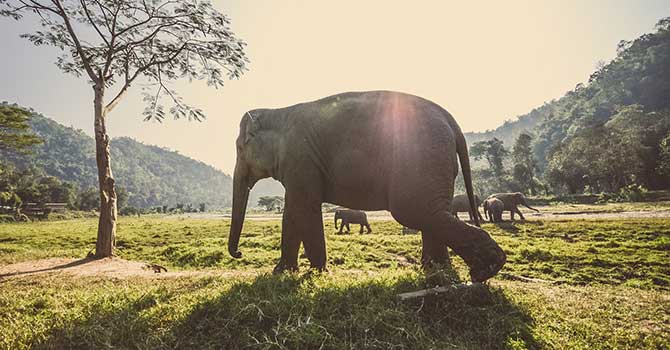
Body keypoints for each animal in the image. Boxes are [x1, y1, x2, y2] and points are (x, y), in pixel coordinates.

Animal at [228, 90, 506, 282]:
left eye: (240, 148)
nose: (239, 253)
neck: (278, 111)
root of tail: (451, 121)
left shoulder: (301, 160)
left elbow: (305, 207)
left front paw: (316, 273)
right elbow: (293, 212)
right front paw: (282, 272)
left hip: (421, 158)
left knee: (414, 211)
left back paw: (485, 270)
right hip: (438, 164)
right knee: (434, 211)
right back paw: (437, 272)